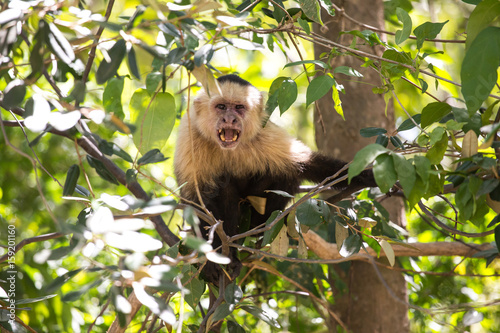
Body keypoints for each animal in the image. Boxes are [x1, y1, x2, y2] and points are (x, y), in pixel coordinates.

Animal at [175, 74, 376, 282]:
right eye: (221, 106)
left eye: (239, 107)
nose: (229, 118)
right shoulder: (190, 136)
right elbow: (196, 200)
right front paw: (211, 259)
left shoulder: (264, 133)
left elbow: (308, 163)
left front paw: (369, 178)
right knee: (224, 186)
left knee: (285, 171)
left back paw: (259, 227)